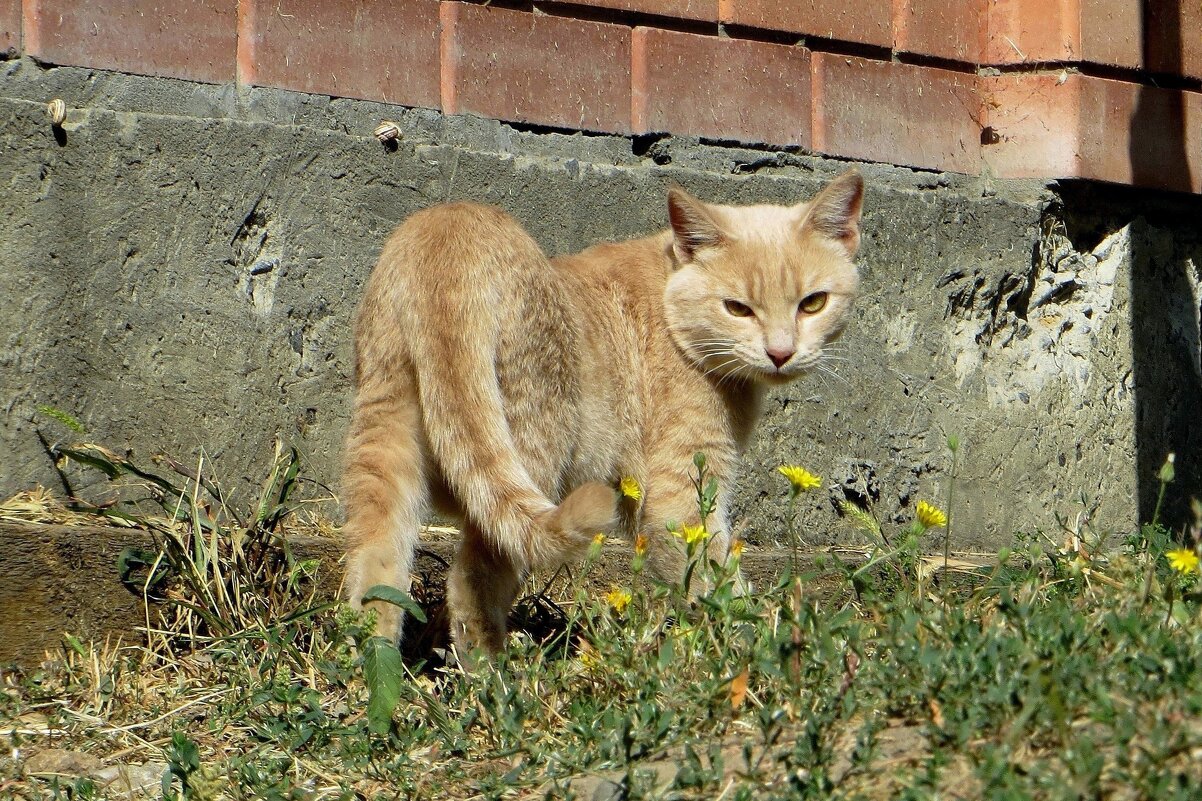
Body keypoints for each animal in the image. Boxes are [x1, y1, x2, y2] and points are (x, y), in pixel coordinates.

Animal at [341, 169, 865, 654]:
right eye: (737, 309)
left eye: (812, 303)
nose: (781, 353)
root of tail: (447, 228)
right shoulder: (679, 497)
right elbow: (718, 585)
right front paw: (759, 649)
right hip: (534, 445)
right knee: (471, 581)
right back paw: (492, 676)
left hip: (384, 444)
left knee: (375, 577)